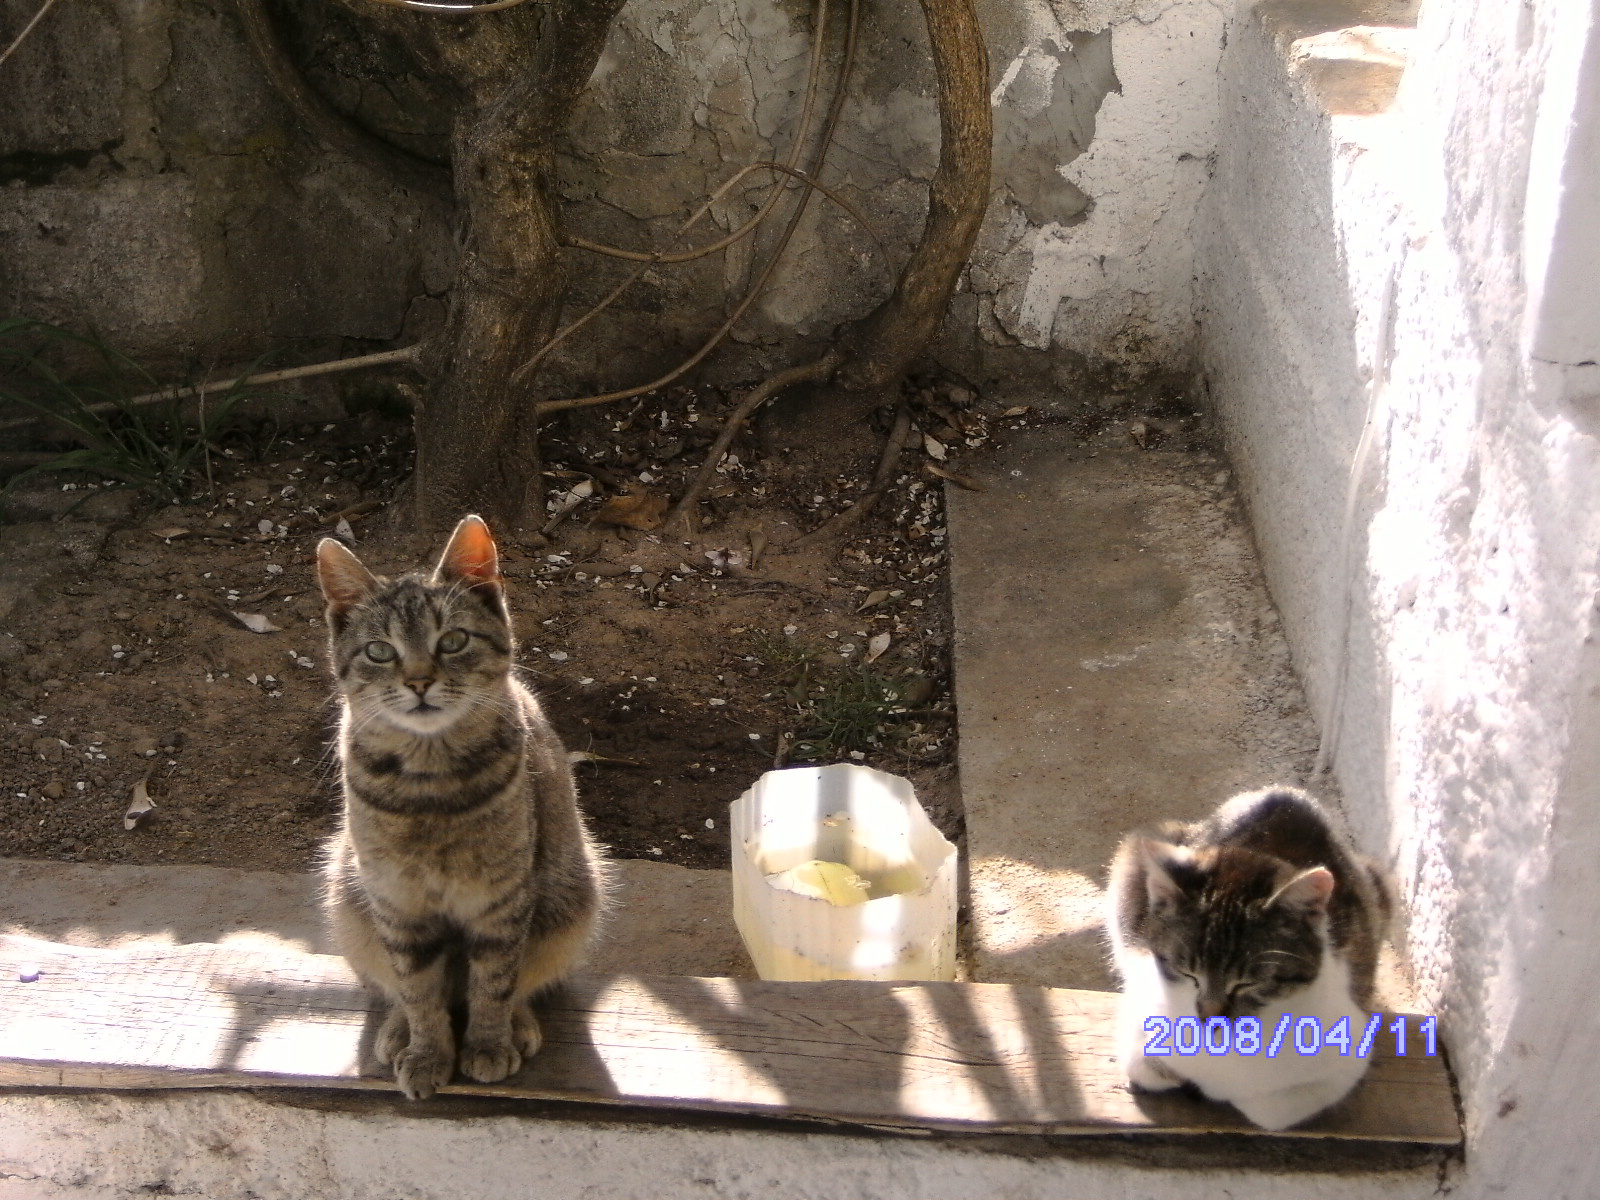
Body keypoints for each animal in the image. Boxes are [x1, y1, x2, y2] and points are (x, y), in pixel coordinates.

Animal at [316, 515, 604, 1100]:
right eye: (379, 651)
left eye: (453, 640)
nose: (419, 681)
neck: (431, 785)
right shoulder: (397, 904)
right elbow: (417, 989)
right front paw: (427, 1051)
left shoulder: (501, 900)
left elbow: (494, 982)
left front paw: (489, 1044)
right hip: (347, 897)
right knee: (395, 985)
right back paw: (398, 1031)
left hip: (571, 899)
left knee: (524, 981)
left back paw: (517, 1026)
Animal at [1107, 790, 1395, 1126]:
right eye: (1188, 973)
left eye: (1247, 983)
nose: (1208, 1017)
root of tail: (1285, 793)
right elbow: (1142, 1061)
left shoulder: (1346, 1058)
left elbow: (1267, 1110)